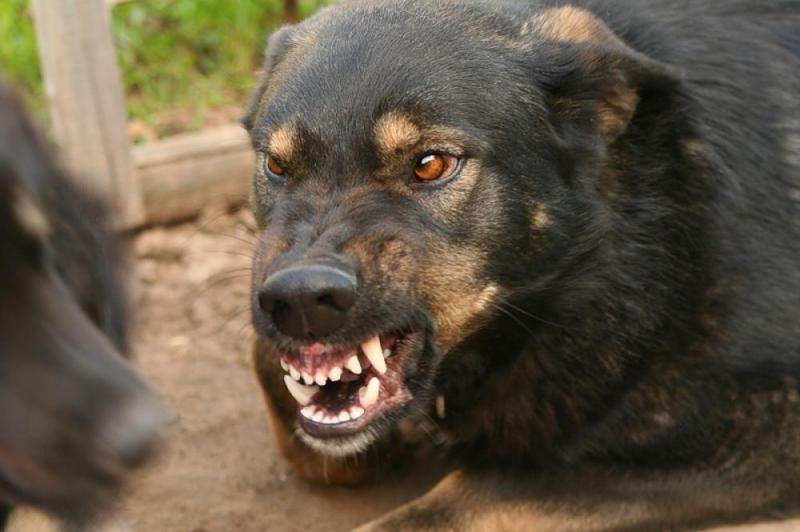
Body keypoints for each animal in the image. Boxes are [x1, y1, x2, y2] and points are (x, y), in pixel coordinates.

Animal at [244, 1, 800, 528]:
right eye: (275, 165)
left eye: (431, 164)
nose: (299, 300)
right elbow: (269, 364)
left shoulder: (761, 436)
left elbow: (451, 504)